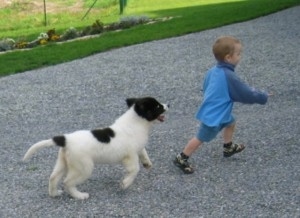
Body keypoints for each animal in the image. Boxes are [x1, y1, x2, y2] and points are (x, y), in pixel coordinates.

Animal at [22, 97, 169, 199]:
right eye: (157, 106)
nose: (168, 105)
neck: (137, 122)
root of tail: (66, 139)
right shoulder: (130, 156)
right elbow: (134, 170)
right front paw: (125, 183)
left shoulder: (138, 148)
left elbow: (143, 152)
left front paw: (147, 163)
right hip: (84, 168)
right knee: (67, 182)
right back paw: (79, 196)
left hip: (64, 163)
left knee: (53, 177)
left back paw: (54, 194)